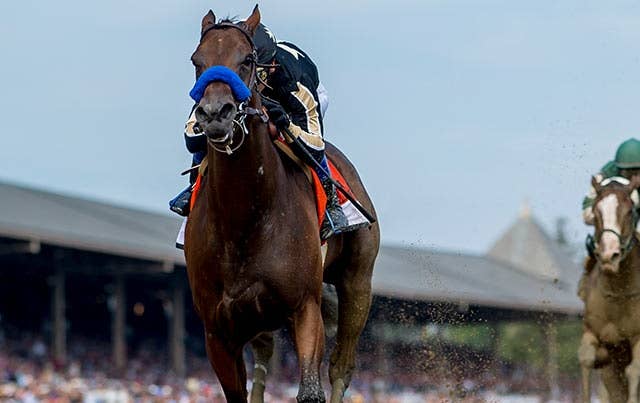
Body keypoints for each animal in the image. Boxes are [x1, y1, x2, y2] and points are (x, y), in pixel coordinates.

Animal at [183, 6, 380, 403]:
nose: (214, 113)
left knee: (341, 367)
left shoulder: (305, 308)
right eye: (197, 61)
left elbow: (310, 389)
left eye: (246, 60)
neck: (244, 219)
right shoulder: (217, 330)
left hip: (357, 282)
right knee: (264, 358)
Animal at [579, 176, 640, 403]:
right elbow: (586, 359)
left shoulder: (637, 337)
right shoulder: (595, 334)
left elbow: (635, 370)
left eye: (630, 211)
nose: (609, 256)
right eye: (596, 211)